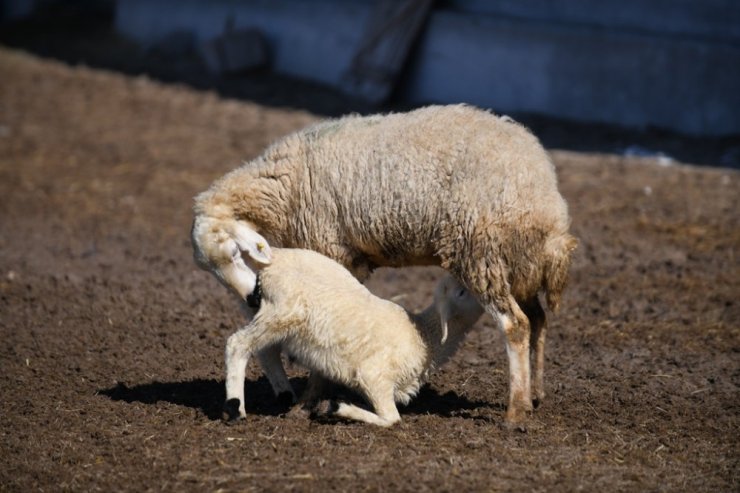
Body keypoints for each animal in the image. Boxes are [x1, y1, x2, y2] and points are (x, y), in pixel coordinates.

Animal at [223, 248, 482, 424]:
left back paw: (284, 395)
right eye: (461, 292)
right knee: (237, 344)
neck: (424, 337)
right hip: (283, 311)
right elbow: (392, 419)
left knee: (264, 350)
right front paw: (338, 408)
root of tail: (273, 257)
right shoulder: (373, 376)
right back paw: (235, 407)